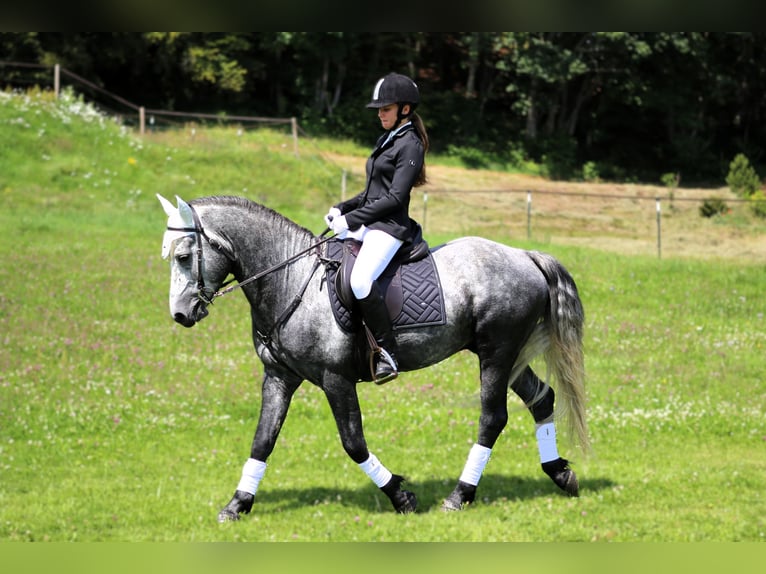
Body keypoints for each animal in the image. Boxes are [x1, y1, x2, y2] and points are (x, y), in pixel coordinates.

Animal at [154, 196, 588, 524]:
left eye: (184, 256)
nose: (180, 314)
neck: (290, 280)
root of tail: (524, 256)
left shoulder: (335, 380)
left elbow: (353, 442)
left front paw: (401, 496)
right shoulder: (278, 377)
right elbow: (263, 440)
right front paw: (238, 504)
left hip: (496, 354)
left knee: (493, 417)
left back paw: (460, 495)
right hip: (508, 356)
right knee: (542, 399)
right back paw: (560, 474)